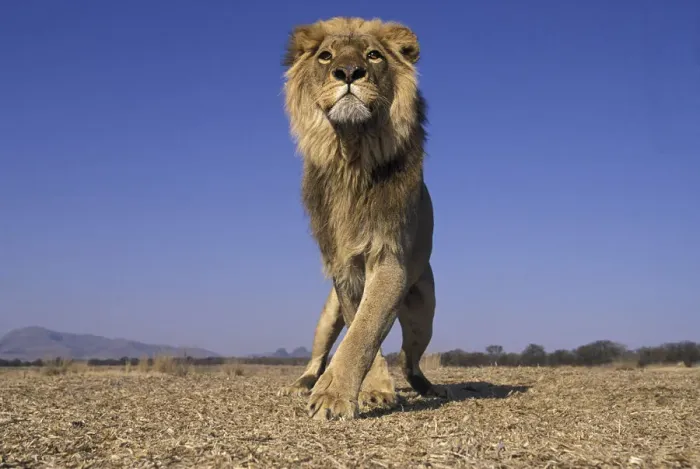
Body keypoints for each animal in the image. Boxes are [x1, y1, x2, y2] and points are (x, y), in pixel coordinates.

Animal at [277, 17, 445, 420]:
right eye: (326, 56)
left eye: (373, 55)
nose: (349, 72)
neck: (352, 153)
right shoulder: (345, 269)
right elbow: (359, 329)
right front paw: (371, 389)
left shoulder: (389, 261)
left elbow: (364, 332)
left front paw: (334, 394)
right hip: (327, 315)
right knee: (319, 353)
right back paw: (303, 382)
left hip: (424, 313)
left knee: (409, 359)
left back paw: (426, 386)